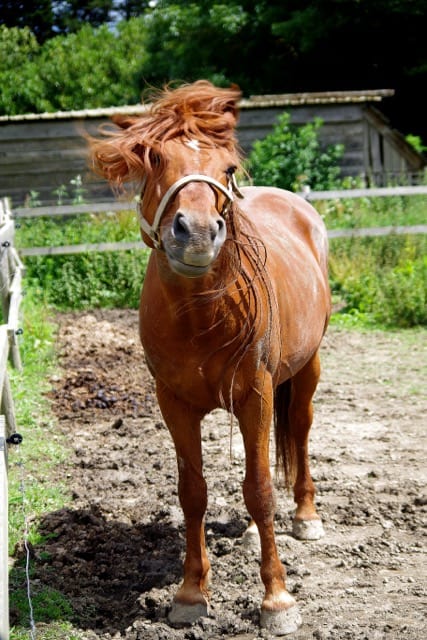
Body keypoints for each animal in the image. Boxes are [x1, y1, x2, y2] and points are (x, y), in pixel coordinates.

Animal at [90, 80, 331, 635]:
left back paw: (306, 516)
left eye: (228, 167)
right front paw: (191, 593)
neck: (199, 314)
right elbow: (193, 492)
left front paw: (277, 600)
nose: (198, 231)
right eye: (155, 158)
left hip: (306, 369)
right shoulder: (174, 404)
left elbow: (260, 489)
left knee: (300, 430)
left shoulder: (256, 395)